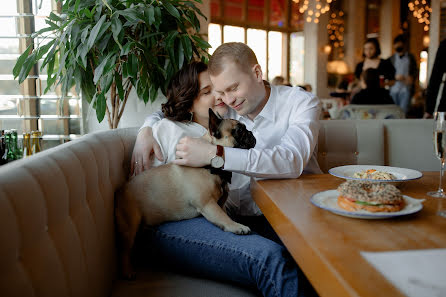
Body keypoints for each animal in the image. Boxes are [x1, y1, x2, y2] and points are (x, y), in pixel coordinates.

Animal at [115, 108, 256, 278]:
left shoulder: (219, 203)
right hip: (129, 225)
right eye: (239, 131)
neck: (209, 167)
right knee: (124, 250)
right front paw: (236, 226)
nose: (251, 132)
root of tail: (121, 191)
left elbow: (224, 213)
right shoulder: (208, 204)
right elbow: (223, 217)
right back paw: (127, 271)